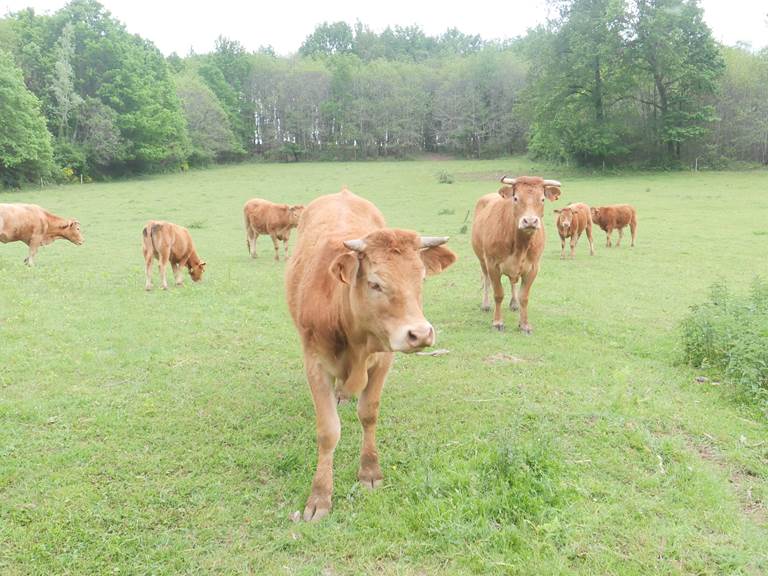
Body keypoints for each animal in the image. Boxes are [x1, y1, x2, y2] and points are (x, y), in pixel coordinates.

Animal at [286, 189, 456, 520]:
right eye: (375, 283)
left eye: (421, 279)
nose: (420, 334)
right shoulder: (315, 364)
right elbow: (328, 430)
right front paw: (320, 495)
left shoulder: (384, 358)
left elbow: (369, 413)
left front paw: (370, 472)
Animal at [472, 178, 560, 336]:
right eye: (516, 198)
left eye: (542, 199)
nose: (530, 221)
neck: (520, 245)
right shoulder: (492, 264)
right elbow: (498, 294)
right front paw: (497, 322)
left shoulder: (533, 268)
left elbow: (524, 297)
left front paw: (524, 324)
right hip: (482, 260)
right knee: (486, 280)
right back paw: (485, 304)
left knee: (513, 283)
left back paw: (514, 303)